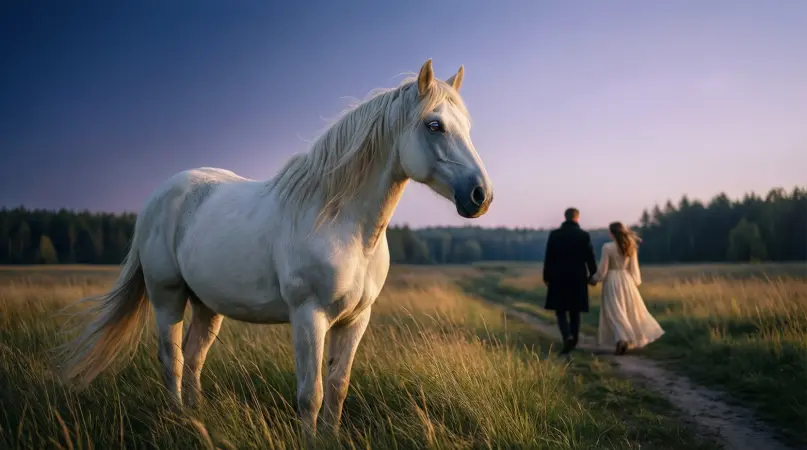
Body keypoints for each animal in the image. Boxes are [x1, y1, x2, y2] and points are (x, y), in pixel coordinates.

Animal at [56, 59, 493, 435]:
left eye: (469, 126)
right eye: (434, 125)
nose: (481, 195)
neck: (343, 224)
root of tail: (159, 196)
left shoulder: (356, 320)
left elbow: (338, 388)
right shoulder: (309, 316)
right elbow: (311, 395)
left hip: (207, 304)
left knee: (195, 357)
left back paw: (196, 417)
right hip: (168, 297)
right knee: (173, 359)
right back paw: (179, 416)